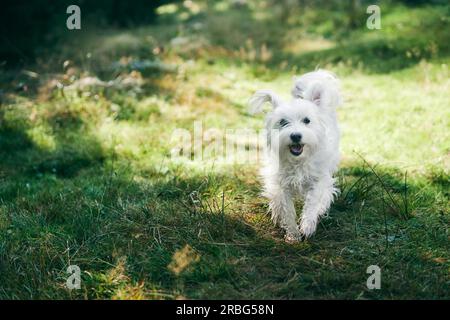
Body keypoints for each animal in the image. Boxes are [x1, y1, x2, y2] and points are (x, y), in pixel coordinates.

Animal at [250, 69, 342, 241]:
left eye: (307, 120)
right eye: (283, 122)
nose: (295, 136)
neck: (298, 160)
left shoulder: (318, 179)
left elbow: (312, 202)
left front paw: (307, 226)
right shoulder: (282, 185)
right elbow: (287, 209)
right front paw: (292, 234)